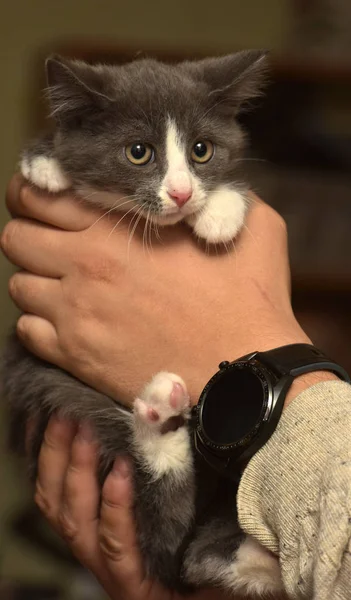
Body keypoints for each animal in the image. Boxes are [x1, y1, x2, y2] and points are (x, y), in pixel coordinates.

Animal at [1, 51, 284, 596]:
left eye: (201, 151)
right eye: (138, 153)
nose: (181, 193)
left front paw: (221, 210)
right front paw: (45, 163)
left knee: (184, 553)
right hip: (49, 385)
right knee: (170, 540)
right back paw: (161, 419)